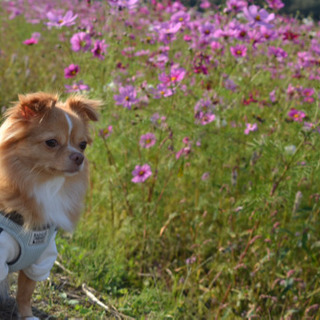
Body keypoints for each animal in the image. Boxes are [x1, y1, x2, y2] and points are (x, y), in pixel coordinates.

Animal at [0, 91, 99, 318]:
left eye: (83, 145)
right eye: (51, 142)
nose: (79, 157)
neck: (43, 185)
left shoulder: (41, 258)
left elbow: (26, 291)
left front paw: (27, 315)